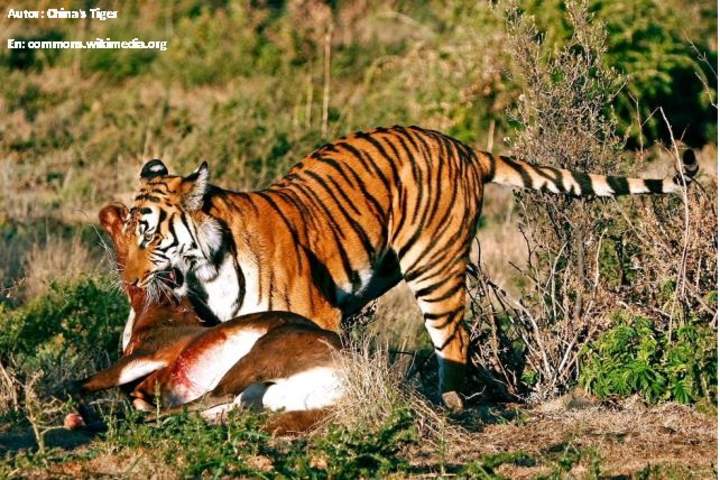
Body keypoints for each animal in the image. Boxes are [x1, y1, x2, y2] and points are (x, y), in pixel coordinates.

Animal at [118, 125, 698, 407]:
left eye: (148, 234)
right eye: (121, 236)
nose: (128, 279)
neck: (207, 271)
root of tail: (461, 146)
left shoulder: (314, 313)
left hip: (434, 269)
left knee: (454, 339)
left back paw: (451, 401)